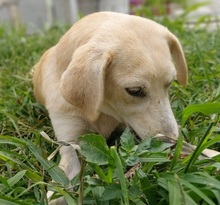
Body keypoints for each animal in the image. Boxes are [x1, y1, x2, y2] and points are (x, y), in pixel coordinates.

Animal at [32, 11, 187, 203]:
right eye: (134, 90)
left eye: (169, 83)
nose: (171, 143)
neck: (102, 111)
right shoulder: (70, 142)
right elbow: (63, 182)